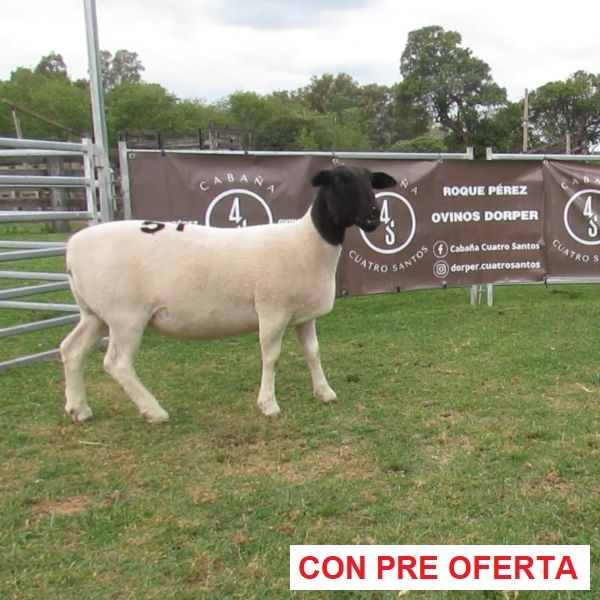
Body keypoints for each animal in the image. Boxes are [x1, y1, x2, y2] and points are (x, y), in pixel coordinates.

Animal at [60, 165, 397, 422]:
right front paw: (268, 405)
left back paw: (79, 409)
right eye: (339, 180)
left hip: (95, 313)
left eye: (371, 181)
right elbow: (271, 357)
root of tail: (73, 247)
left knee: (71, 349)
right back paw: (154, 411)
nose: (373, 217)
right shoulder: (272, 310)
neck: (306, 242)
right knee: (117, 363)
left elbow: (313, 352)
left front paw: (325, 393)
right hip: (125, 314)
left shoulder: (303, 314)